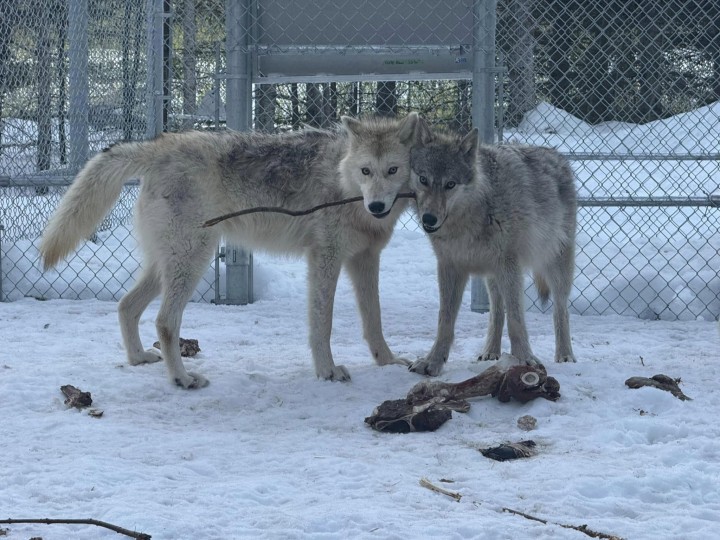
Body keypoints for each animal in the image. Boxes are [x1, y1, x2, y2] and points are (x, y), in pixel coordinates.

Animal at [40, 114, 422, 386]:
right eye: (365, 171)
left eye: (392, 170)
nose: (376, 206)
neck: (343, 183)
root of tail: (160, 144)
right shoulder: (324, 259)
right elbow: (322, 324)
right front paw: (327, 371)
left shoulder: (365, 259)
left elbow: (374, 320)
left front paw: (387, 361)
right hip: (192, 260)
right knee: (164, 322)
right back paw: (181, 379)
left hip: (168, 265)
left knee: (126, 305)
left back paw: (138, 359)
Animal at [408, 119, 576, 376]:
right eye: (423, 179)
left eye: (450, 184)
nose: (428, 219)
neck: (469, 221)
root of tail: (556, 154)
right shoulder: (450, 267)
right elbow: (444, 321)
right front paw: (432, 361)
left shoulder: (510, 265)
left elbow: (516, 319)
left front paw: (525, 359)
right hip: (492, 275)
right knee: (497, 311)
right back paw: (490, 352)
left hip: (554, 266)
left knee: (560, 310)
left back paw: (565, 356)